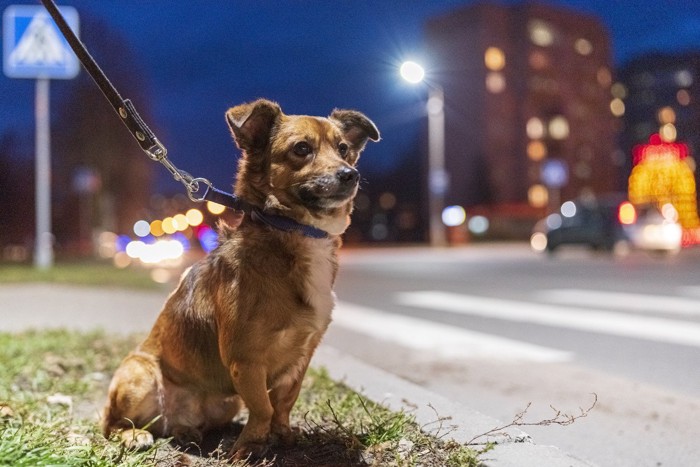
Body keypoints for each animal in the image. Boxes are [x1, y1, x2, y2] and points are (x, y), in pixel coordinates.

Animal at [100, 99, 378, 460]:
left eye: (344, 149)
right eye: (301, 149)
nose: (350, 174)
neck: (293, 231)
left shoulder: (301, 358)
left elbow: (283, 403)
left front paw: (282, 435)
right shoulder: (245, 360)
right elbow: (262, 407)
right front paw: (250, 447)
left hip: (225, 404)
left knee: (180, 425)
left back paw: (186, 431)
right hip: (138, 375)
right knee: (111, 423)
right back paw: (134, 435)